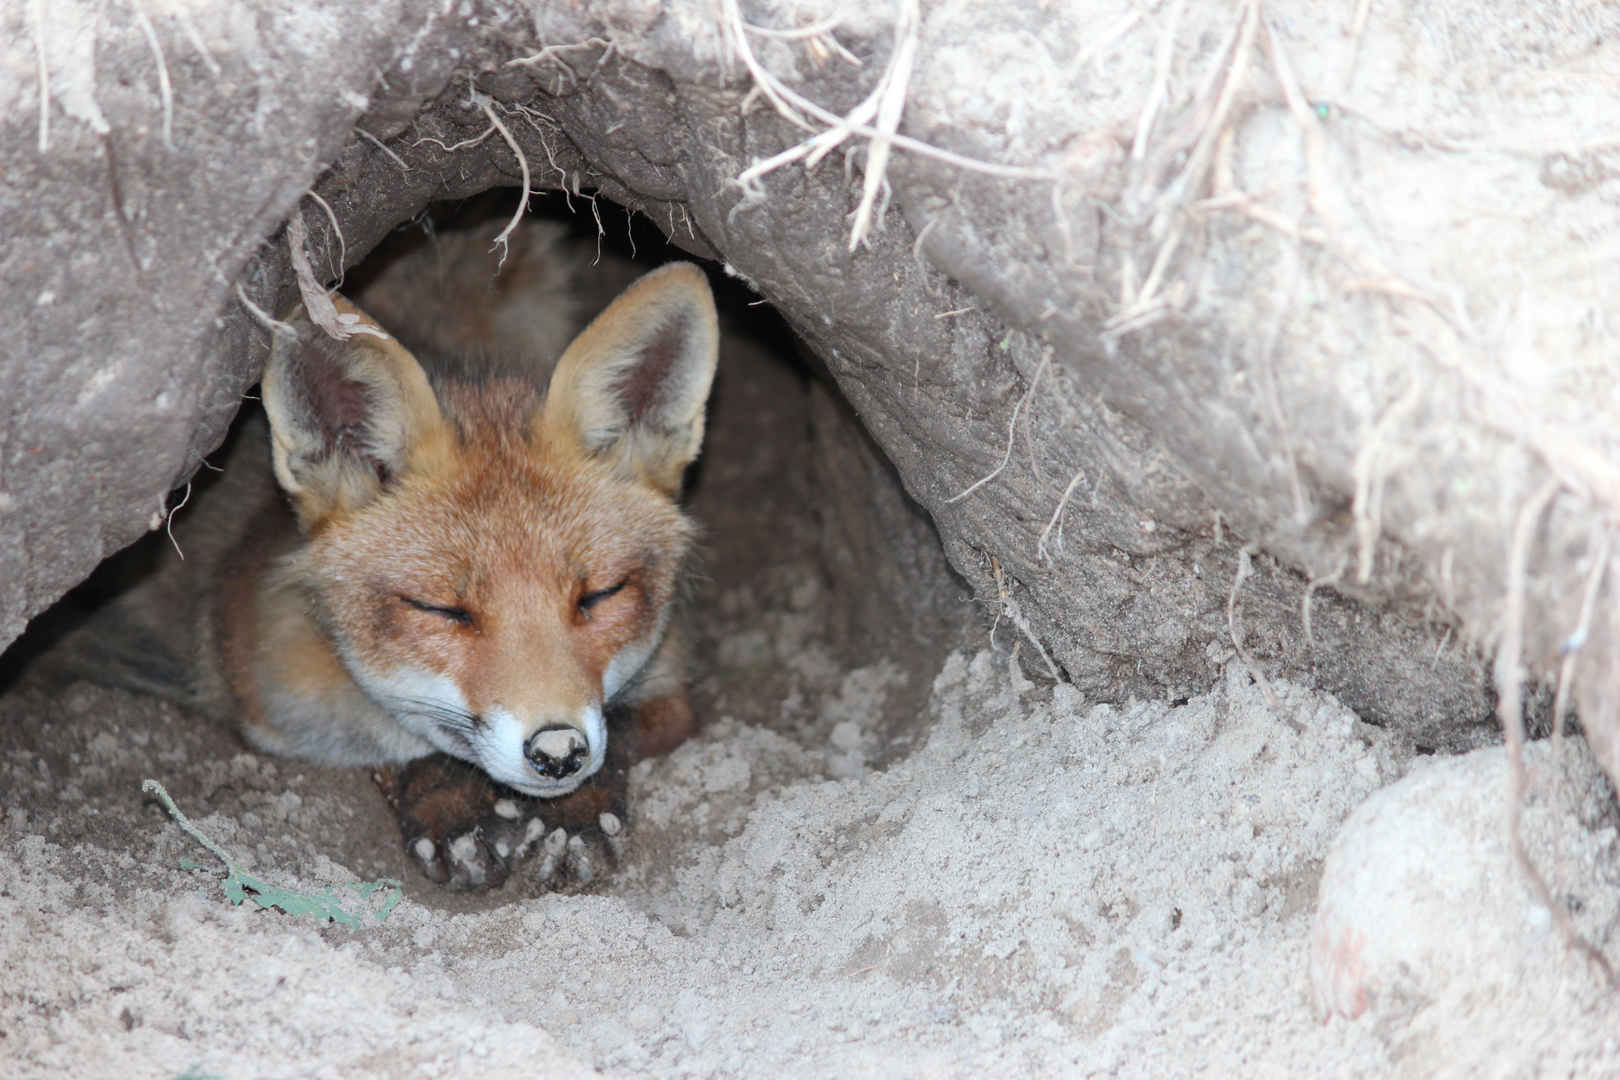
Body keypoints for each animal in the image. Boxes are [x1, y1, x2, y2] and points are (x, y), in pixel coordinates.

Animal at [189, 223, 716, 893]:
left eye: (600, 595)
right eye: (442, 611)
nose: (558, 753)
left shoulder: (671, 684)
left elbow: (623, 729)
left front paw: (576, 814)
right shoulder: (278, 707)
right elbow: (402, 748)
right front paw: (450, 806)